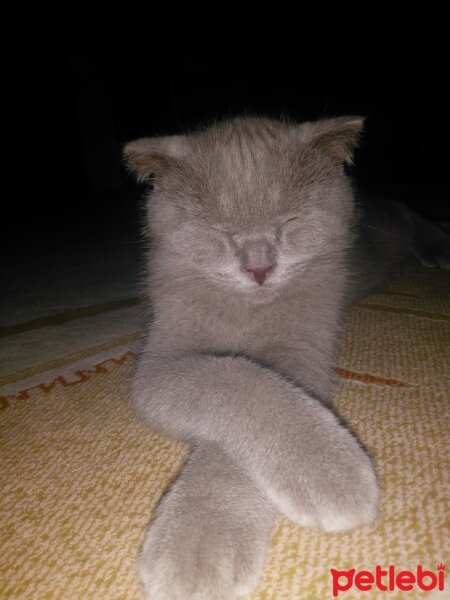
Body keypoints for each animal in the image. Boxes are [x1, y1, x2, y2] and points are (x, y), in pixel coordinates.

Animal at [124, 117, 450, 600]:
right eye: (220, 232)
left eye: (288, 223)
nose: (259, 268)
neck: (246, 312)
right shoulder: (163, 356)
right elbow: (234, 376)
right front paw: (200, 544)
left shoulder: (302, 347)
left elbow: (258, 392)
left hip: (393, 220)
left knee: (411, 216)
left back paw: (439, 250)